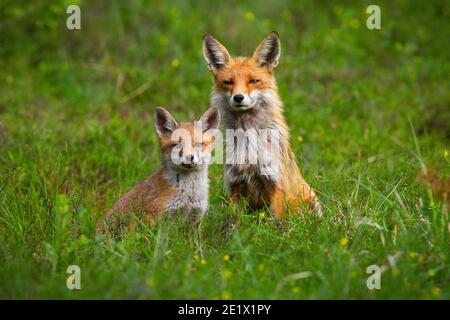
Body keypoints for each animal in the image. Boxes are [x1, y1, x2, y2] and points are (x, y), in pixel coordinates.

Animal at [202, 31, 322, 218]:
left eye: (253, 81)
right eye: (228, 82)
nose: (238, 97)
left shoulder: (275, 181)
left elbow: (277, 219)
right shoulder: (235, 183)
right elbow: (233, 219)